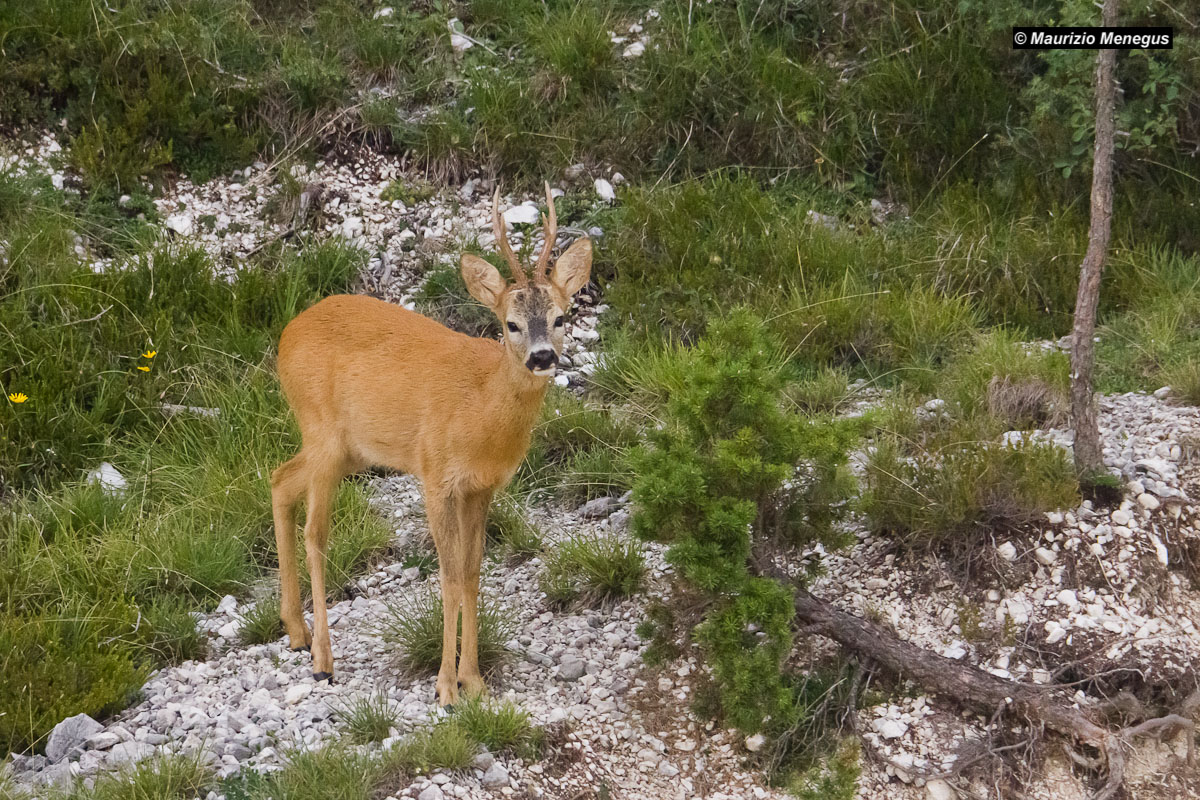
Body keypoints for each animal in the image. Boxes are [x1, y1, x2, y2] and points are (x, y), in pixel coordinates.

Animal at [270, 184, 591, 705]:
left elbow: (473, 575)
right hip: (320, 429)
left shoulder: (482, 487)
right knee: (316, 533)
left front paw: (474, 680)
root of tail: (286, 333)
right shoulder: (436, 474)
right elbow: (449, 576)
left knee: (279, 480)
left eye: (561, 317)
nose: (543, 357)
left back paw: (296, 632)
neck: (481, 408)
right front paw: (445, 686)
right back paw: (322, 659)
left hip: (348, 449)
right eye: (511, 324)